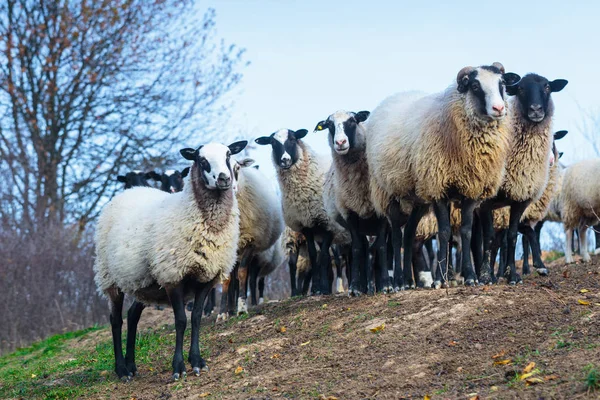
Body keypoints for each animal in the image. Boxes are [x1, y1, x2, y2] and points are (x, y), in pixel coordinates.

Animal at [93, 140, 246, 382]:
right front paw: (179, 367)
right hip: (109, 277)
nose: (223, 178)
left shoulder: (208, 277)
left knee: (133, 315)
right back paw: (122, 370)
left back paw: (132, 365)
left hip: (145, 283)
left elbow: (196, 318)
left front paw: (197, 362)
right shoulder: (173, 275)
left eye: (229, 154)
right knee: (116, 320)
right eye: (201, 160)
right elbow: (181, 321)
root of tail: (128, 192)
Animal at [478, 72, 568, 284]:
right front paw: (487, 275)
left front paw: (513, 274)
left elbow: (513, 237)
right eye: (520, 89)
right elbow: (491, 238)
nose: (536, 109)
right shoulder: (487, 204)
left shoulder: (519, 201)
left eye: (547, 87)